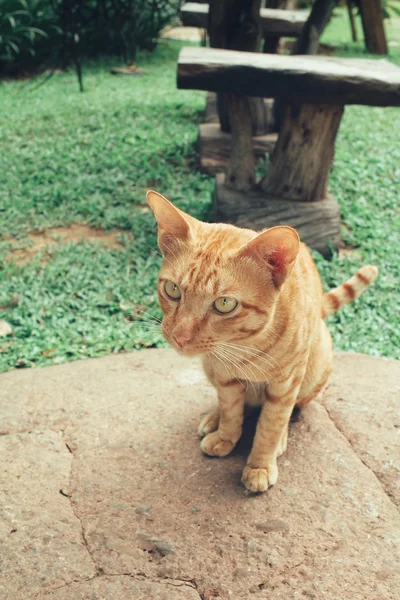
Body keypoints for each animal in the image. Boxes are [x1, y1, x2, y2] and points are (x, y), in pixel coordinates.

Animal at [147, 191, 378, 492]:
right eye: (172, 289)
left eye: (224, 304)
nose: (179, 337)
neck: (246, 346)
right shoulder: (224, 375)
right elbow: (231, 409)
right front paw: (226, 434)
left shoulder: (287, 382)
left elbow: (272, 423)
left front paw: (260, 465)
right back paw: (214, 419)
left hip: (317, 362)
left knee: (295, 408)